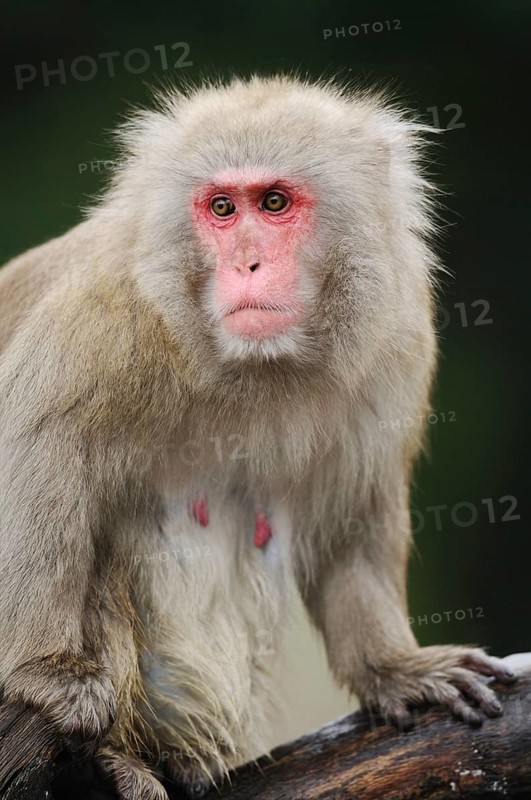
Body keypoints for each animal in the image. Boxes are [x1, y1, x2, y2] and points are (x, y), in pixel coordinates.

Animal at [0, 75, 515, 799]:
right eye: (221, 207)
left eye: (274, 203)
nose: (246, 263)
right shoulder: (102, 313)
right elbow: (39, 449)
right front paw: (44, 671)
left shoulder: (395, 335)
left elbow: (353, 507)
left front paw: (392, 666)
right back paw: (109, 759)